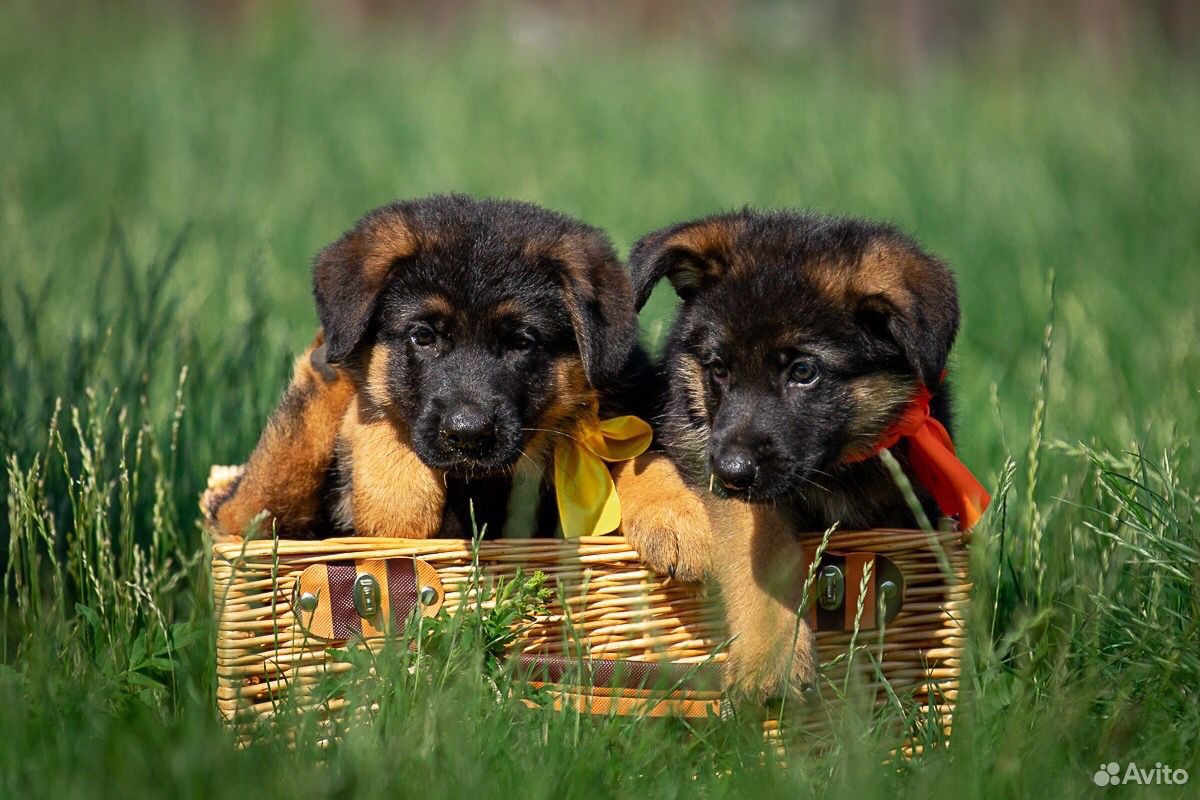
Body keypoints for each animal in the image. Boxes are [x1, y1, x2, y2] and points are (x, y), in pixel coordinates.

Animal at [628, 209, 974, 705]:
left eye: (804, 372)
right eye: (718, 369)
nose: (729, 473)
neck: (832, 475)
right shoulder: (714, 469)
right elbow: (760, 547)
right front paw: (772, 655)